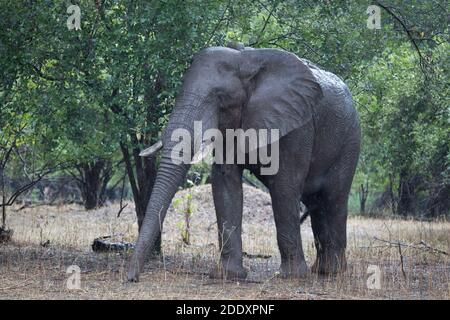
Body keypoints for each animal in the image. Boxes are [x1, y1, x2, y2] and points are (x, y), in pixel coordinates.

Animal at [125, 45, 358, 282]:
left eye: (220, 98)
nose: (131, 278)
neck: (245, 59)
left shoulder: (297, 125)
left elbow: (284, 186)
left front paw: (290, 276)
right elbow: (225, 182)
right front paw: (228, 275)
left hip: (349, 142)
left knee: (333, 200)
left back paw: (332, 272)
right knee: (317, 203)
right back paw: (321, 270)